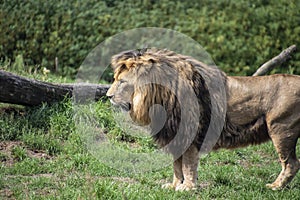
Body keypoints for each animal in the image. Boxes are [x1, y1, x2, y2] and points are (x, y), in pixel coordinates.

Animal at [106, 47, 298, 191]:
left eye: (122, 82)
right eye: (114, 79)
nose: (108, 96)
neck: (159, 97)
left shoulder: (189, 133)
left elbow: (187, 164)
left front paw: (187, 187)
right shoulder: (174, 136)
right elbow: (177, 166)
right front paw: (174, 185)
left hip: (281, 130)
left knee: (291, 164)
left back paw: (275, 187)